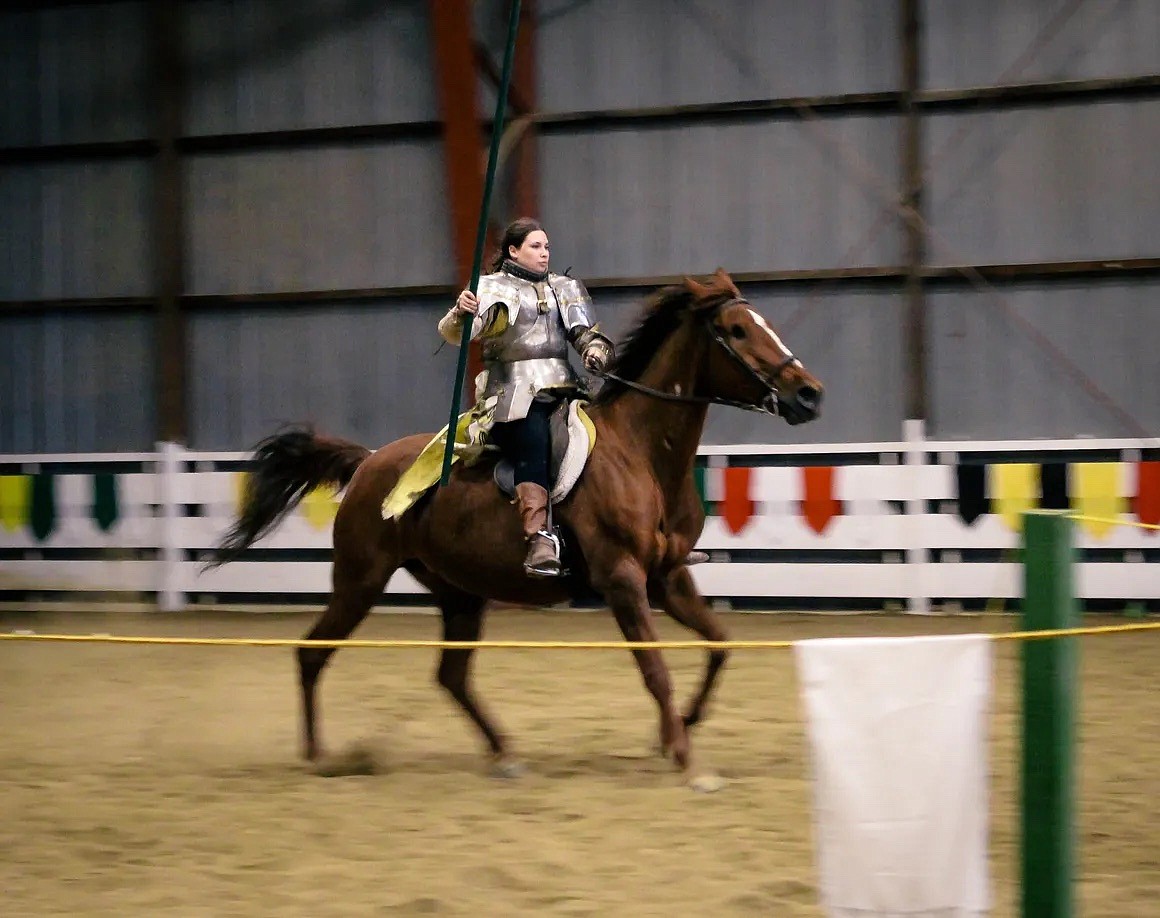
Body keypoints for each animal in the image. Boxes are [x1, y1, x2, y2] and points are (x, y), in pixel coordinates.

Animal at [211, 269, 825, 784]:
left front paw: (678, 731)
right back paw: (319, 756)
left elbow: (720, 645)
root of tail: (367, 464)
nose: (809, 394)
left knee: (451, 676)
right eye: (737, 330)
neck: (643, 453)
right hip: (360, 581)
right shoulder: (624, 581)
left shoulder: (667, 579)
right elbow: (656, 671)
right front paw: (685, 757)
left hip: (458, 593)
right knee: (312, 653)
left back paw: (504, 754)